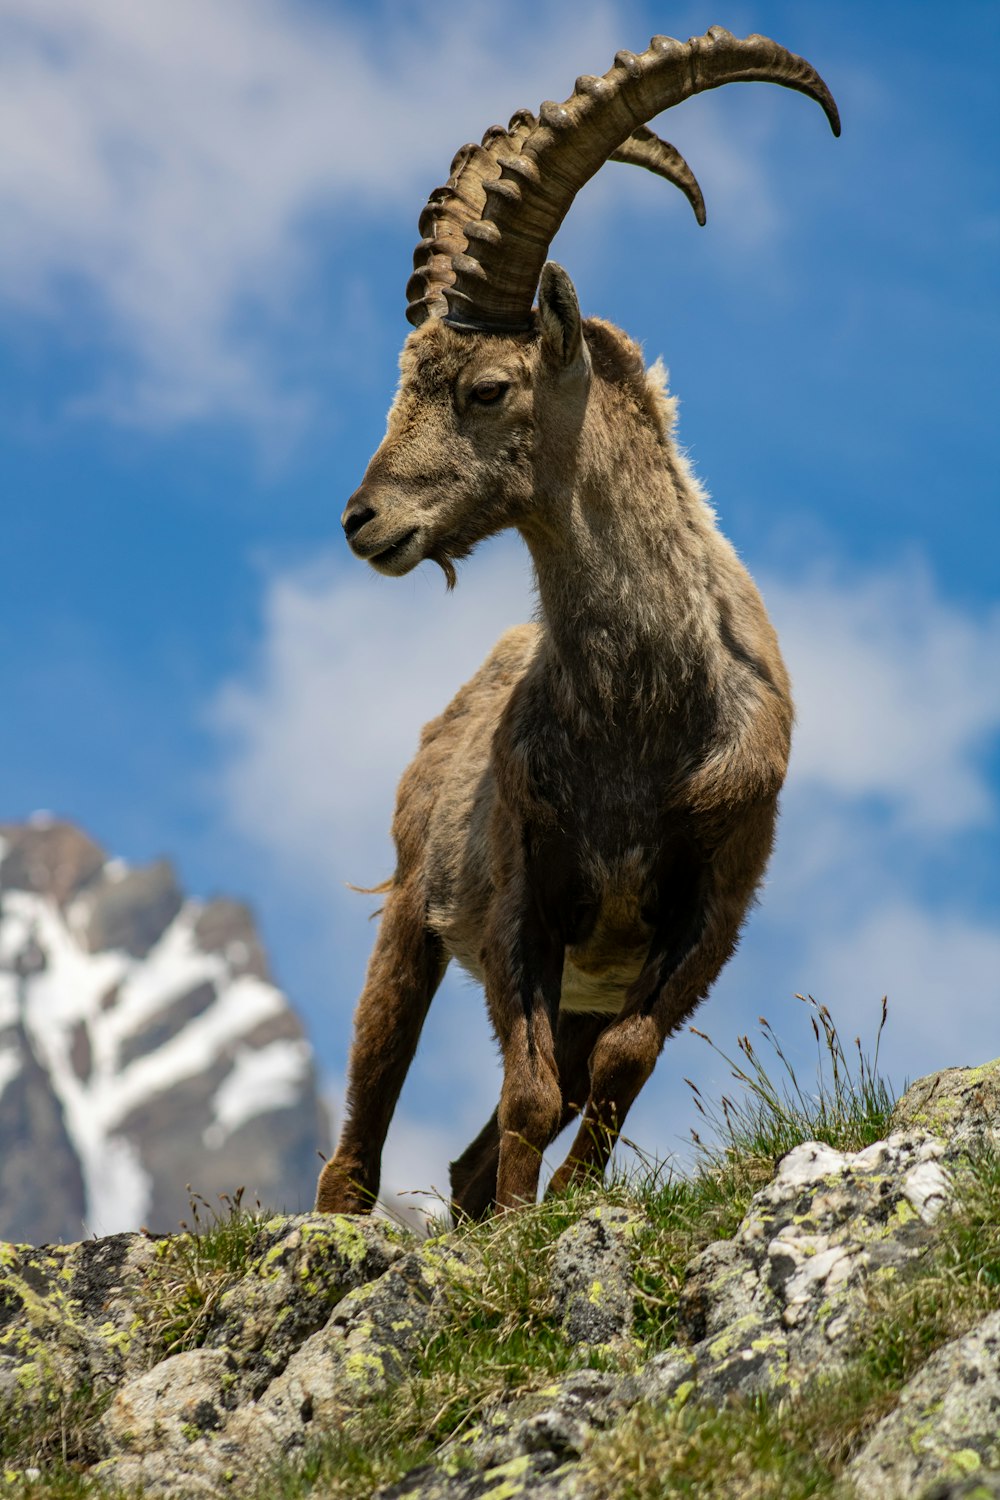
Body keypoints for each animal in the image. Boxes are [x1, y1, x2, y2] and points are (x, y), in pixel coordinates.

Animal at [319, 26, 839, 1218]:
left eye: (487, 387)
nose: (364, 521)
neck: (643, 710)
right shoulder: (525, 894)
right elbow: (531, 1091)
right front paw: (527, 1230)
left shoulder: (708, 907)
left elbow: (614, 1069)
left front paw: (563, 1214)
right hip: (413, 913)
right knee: (359, 1139)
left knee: (484, 1142)